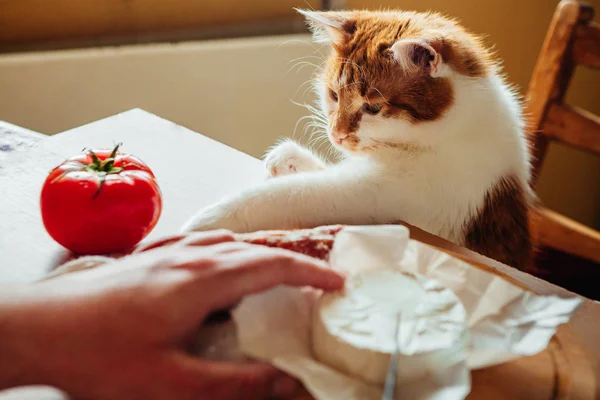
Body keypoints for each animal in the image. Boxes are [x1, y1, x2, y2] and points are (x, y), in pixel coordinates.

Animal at [184, 9, 536, 270]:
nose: (337, 134)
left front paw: (207, 221)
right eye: (333, 95)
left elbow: (285, 195)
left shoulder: (374, 192)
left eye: (373, 108)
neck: (456, 129)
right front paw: (289, 158)